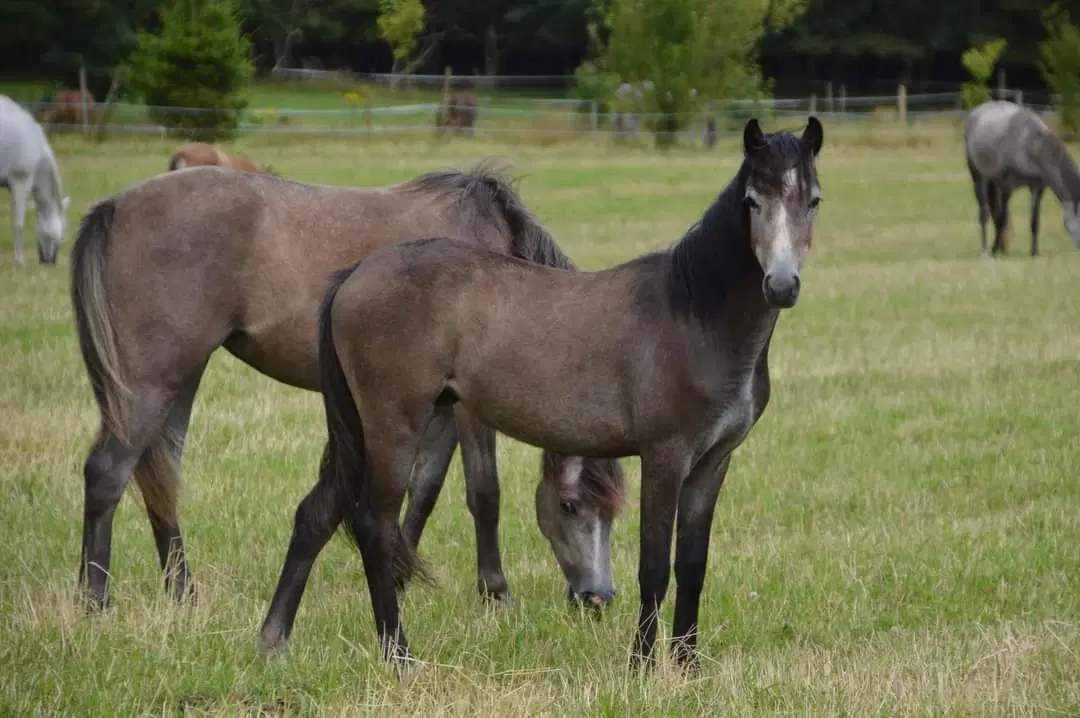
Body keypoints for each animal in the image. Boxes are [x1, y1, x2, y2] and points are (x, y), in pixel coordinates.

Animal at [69, 160, 626, 617]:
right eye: (571, 505)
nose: (596, 598)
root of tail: (114, 207)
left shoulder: (436, 407)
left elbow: (423, 489)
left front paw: (398, 574)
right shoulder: (469, 412)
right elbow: (483, 493)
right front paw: (495, 593)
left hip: (181, 378)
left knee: (160, 476)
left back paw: (182, 593)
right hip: (151, 379)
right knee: (108, 472)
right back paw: (95, 601)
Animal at [263, 117, 825, 673]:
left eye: (814, 200)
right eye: (752, 201)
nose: (781, 285)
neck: (696, 317)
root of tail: (354, 274)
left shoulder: (712, 463)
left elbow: (692, 565)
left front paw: (688, 667)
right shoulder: (665, 458)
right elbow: (654, 567)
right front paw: (642, 666)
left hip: (363, 429)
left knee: (318, 512)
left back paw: (274, 642)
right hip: (393, 428)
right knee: (374, 526)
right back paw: (398, 654)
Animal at [963, 99, 1080, 255]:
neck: (1028, 144)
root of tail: (977, 111)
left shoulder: (1037, 187)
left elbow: (1034, 220)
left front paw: (1034, 252)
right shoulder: (1006, 187)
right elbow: (1002, 219)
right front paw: (993, 250)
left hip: (993, 182)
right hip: (978, 176)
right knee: (984, 212)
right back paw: (985, 250)